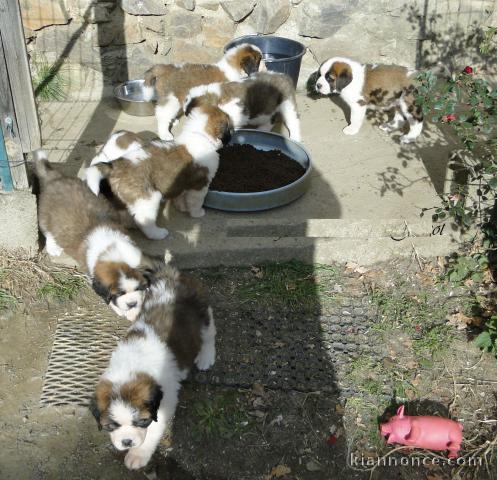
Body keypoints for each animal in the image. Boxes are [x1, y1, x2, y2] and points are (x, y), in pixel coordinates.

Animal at [34, 150, 158, 320]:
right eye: (119, 293)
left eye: (139, 287)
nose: (132, 303)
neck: (111, 248)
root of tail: (55, 177)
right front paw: (122, 310)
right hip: (45, 216)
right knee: (48, 232)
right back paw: (53, 247)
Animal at [85, 102, 232, 239]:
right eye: (228, 129)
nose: (230, 138)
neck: (199, 135)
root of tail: (115, 165)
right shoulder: (200, 185)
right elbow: (195, 201)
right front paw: (197, 213)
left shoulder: (182, 183)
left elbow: (181, 196)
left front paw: (182, 207)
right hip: (148, 198)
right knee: (143, 220)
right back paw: (158, 234)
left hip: (124, 197)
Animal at [91, 262, 215, 468]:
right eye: (111, 425)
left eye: (142, 422)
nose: (127, 442)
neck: (131, 367)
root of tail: (172, 275)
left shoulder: (165, 403)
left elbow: (153, 431)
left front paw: (138, 454)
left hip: (203, 313)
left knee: (209, 333)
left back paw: (206, 356)